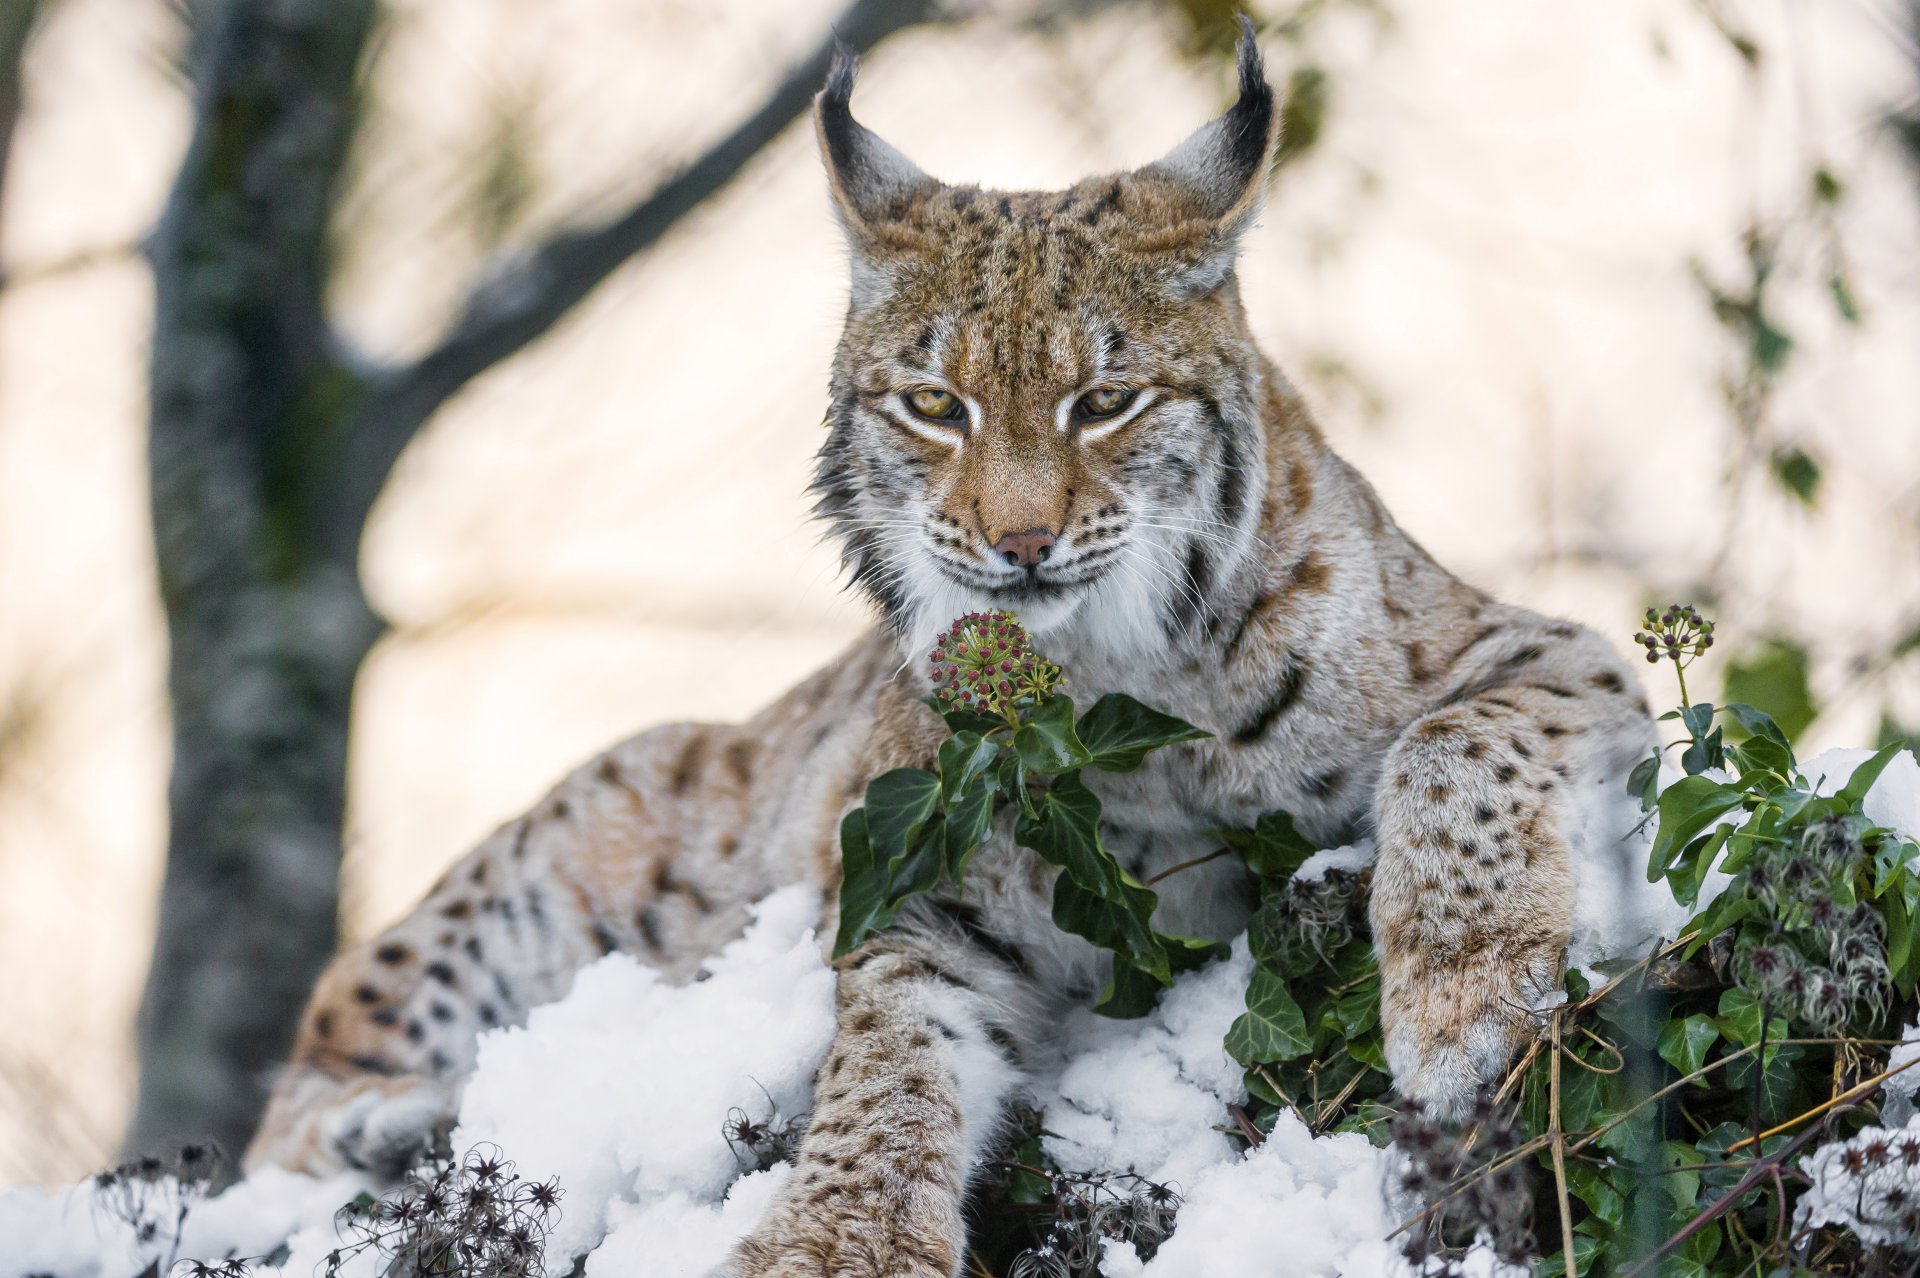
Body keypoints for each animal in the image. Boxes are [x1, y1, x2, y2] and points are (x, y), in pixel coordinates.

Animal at [245, 25, 1656, 1276]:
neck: (1125, 682)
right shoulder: (918, 880)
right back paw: (394, 1119)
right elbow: (886, 1050)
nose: (1020, 542)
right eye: (934, 407)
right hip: (576, 853)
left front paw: (1462, 1001)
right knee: (311, 1057)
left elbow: (1454, 745)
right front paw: (839, 1244)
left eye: (1107, 403)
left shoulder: (1555, 655)